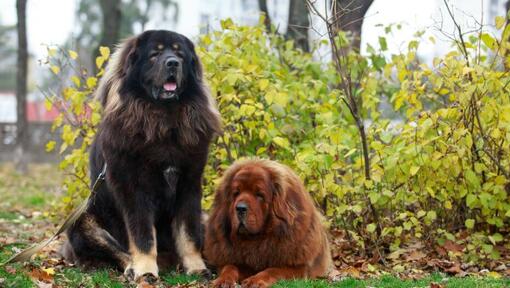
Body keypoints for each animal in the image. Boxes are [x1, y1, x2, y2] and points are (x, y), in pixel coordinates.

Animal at [61, 31, 221, 282]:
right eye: (155, 54)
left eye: (180, 55)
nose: (173, 63)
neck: (163, 121)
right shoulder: (135, 190)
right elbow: (143, 236)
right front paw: (145, 270)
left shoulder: (189, 186)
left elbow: (189, 234)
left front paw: (196, 267)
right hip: (82, 221)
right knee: (117, 251)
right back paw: (132, 268)